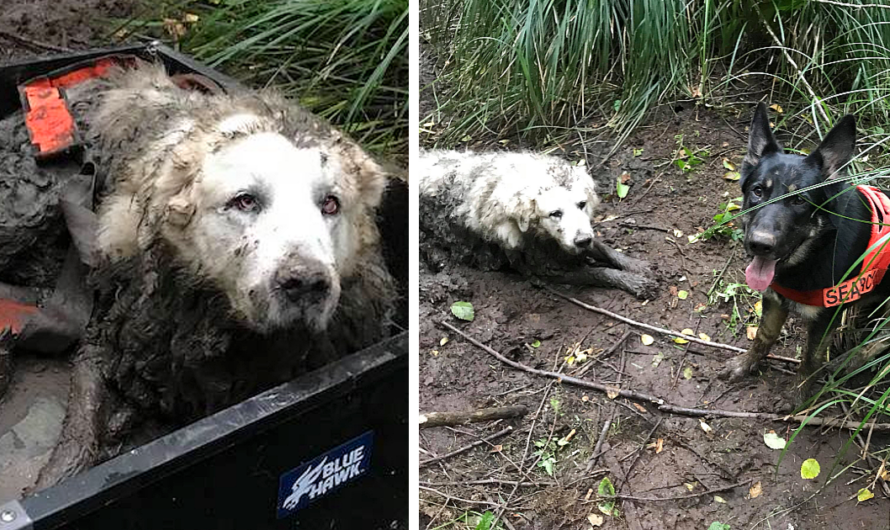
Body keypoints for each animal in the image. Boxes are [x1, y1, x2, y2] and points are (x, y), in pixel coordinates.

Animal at [414, 148, 652, 296]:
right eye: (555, 213)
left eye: (582, 204)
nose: (582, 240)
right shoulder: (543, 268)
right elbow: (596, 273)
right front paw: (633, 281)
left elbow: (604, 249)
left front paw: (636, 266)